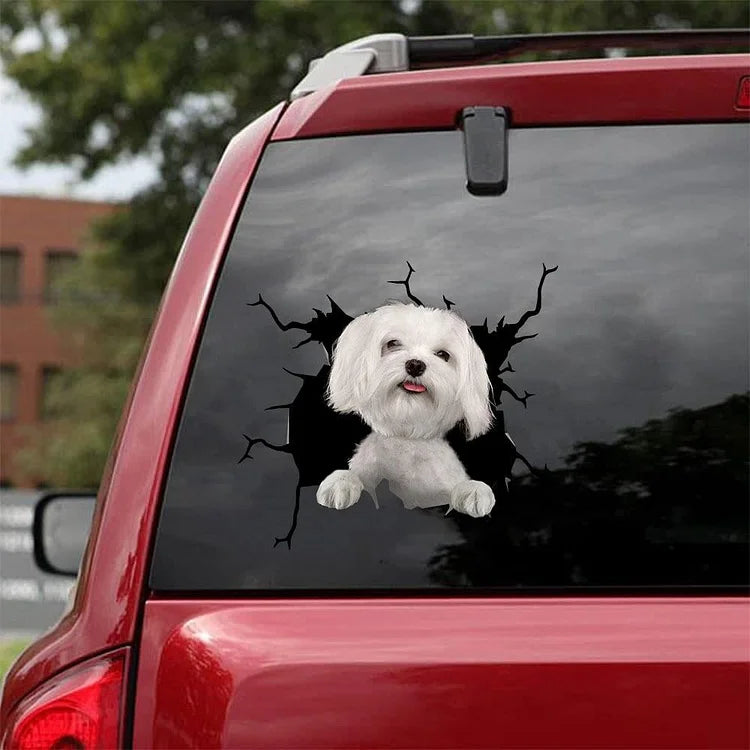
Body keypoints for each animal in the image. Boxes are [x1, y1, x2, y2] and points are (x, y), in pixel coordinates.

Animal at [314, 302, 496, 520]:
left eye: (443, 355)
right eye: (393, 343)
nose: (415, 364)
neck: (406, 440)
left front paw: (473, 491)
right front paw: (340, 483)